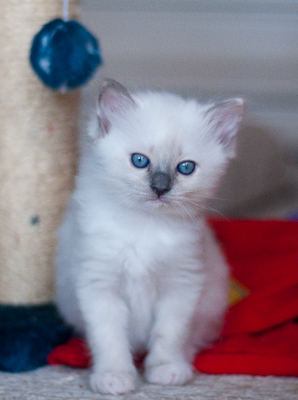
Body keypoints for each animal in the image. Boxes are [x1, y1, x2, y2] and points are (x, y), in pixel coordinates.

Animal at [54, 79, 243, 396]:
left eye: (186, 167)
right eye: (140, 161)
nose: (160, 188)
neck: (144, 227)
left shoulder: (181, 285)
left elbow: (169, 334)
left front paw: (166, 370)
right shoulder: (99, 285)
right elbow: (110, 339)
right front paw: (114, 377)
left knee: (192, 340)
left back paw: (181, 363)